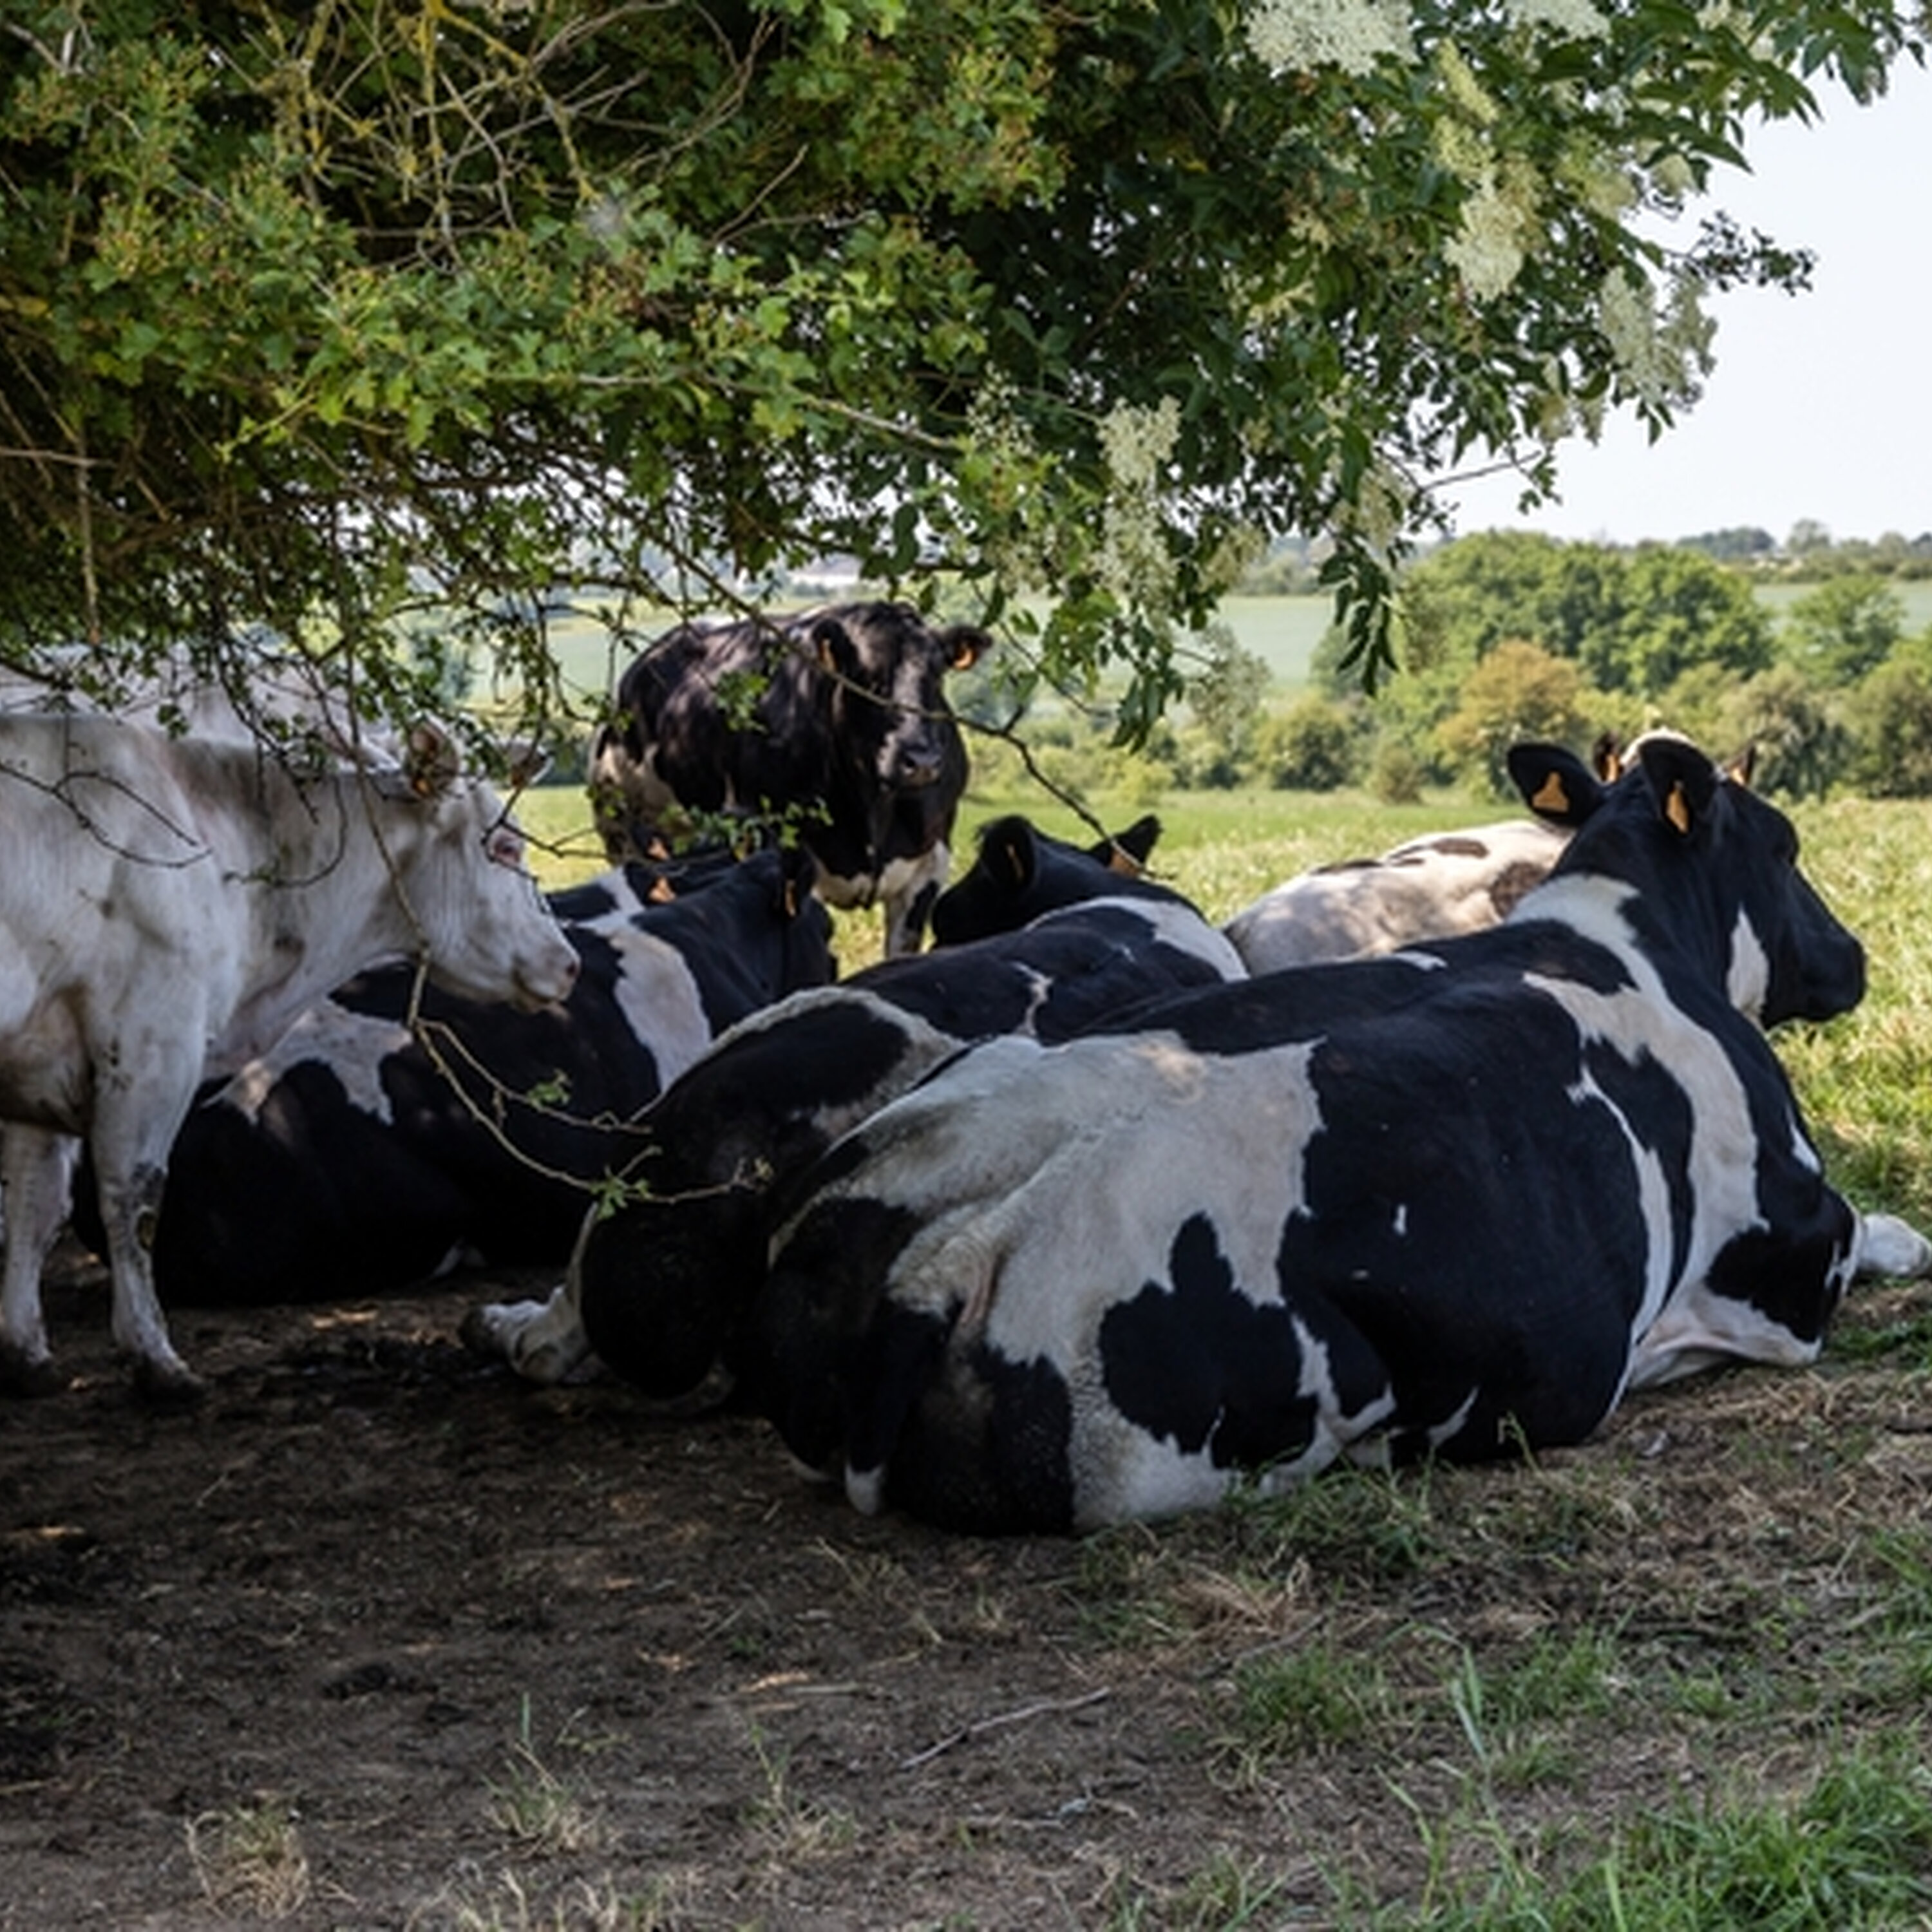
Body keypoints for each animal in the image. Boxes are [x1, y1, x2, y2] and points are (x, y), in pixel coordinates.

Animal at [0, 714, 580, 1401]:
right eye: (507, 847)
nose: (569, 963)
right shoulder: (154, 1041)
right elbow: (134, 1197)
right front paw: (153, 1356)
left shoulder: (42, 1061)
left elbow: (33, 1205)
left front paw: (24, 1352)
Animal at [589, 602, 990, 957]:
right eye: (866, 679)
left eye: (937, 677)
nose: (921, 761)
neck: (873, 813)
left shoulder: (930, 864)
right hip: (621, 832)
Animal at [740, 733, 1932, 1534]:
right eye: (1784, 842)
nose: (1858, 956)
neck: (1628, 937)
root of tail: (937, 1259)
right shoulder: (1792, 1260)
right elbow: (1884, 1235)